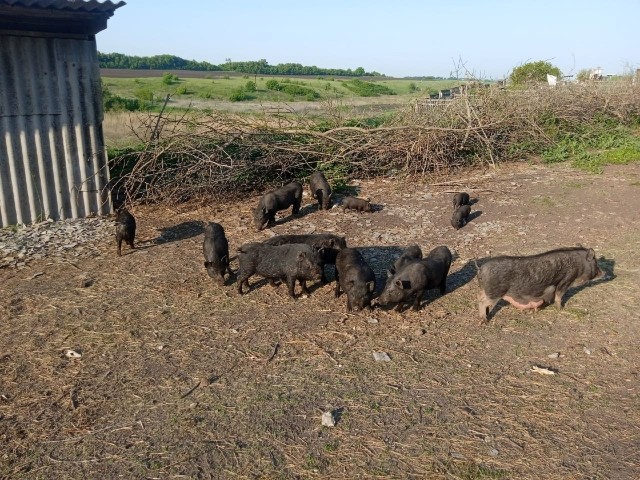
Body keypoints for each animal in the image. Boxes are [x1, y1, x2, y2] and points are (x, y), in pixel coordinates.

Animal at [476, 246, 605, 322]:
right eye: (595, 263)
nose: (604, 272)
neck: (579, 265)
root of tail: (481, 269)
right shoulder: (565, 281)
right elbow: (559, 296)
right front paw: (561, 308)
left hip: (485, 291)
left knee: (480, 298)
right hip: (495, 293)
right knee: (482, 302)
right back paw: (484, 321)